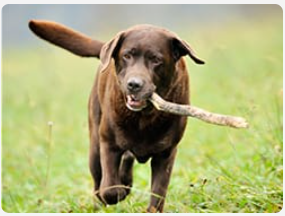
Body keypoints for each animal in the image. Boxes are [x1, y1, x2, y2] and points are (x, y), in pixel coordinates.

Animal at [28, 20, 203, 213]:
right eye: (127, 55)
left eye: (156, 60)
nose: (134, 84)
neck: (143, 117)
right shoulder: (108, 143)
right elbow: (109, 189)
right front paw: (117, 192)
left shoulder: (166, 153)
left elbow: (158, 193)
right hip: (95, 146)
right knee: (99, 182)